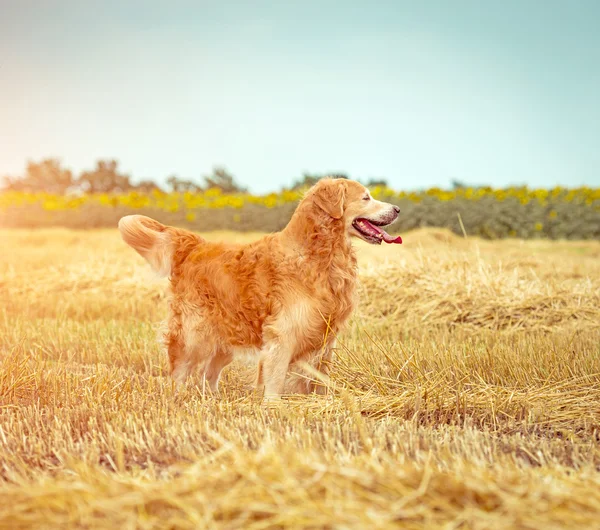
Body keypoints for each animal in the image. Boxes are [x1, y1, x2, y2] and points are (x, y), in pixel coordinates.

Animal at [119, 176, 400, 396]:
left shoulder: (325, 337)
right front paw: (273, 409)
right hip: (194, 333)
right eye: (366, 197)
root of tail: (195, 245)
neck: (319, 255)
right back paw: (177, 398)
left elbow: (321, 380)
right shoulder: (283, 334)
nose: (397, 208)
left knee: (208, 374)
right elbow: (275, 380)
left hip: (227, 337)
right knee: (179, 370)